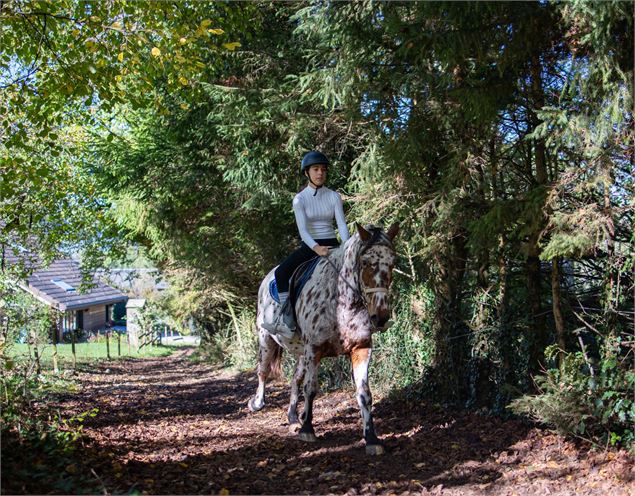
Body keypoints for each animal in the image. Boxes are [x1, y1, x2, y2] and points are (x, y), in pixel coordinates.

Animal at [247, 223, 398, 456]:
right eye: (365, 262)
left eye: (392, 263)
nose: (380, 317)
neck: (341, 302)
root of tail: (266, 278)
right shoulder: (314, 348)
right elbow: (311, 388)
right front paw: (308, 430)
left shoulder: (361, 349)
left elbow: (364, 394)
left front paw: (372, 439)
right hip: (267, 340)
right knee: (263, 371)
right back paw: (257, 403)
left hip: (301, 352)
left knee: (295, 379)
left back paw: (293, 418)